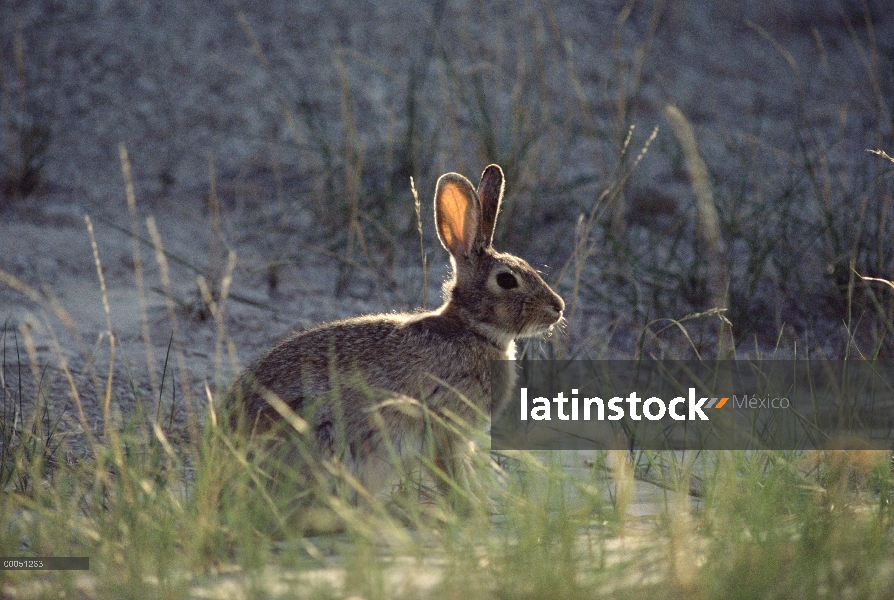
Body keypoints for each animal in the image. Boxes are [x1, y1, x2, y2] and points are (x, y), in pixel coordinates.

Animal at [231, 164, 568, 502]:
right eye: (507, 280)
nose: (558, 307)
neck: (473, 329)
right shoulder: (443, 429)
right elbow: (451, 474)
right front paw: (469, 506)